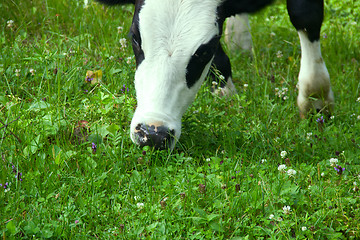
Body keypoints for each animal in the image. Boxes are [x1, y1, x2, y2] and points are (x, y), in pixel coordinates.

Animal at [96, 0, 334, 150]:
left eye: (204, 51)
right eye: (135, 37)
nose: (153, 134)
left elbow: (305, 14)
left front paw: (316, 99)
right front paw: (225, 93)